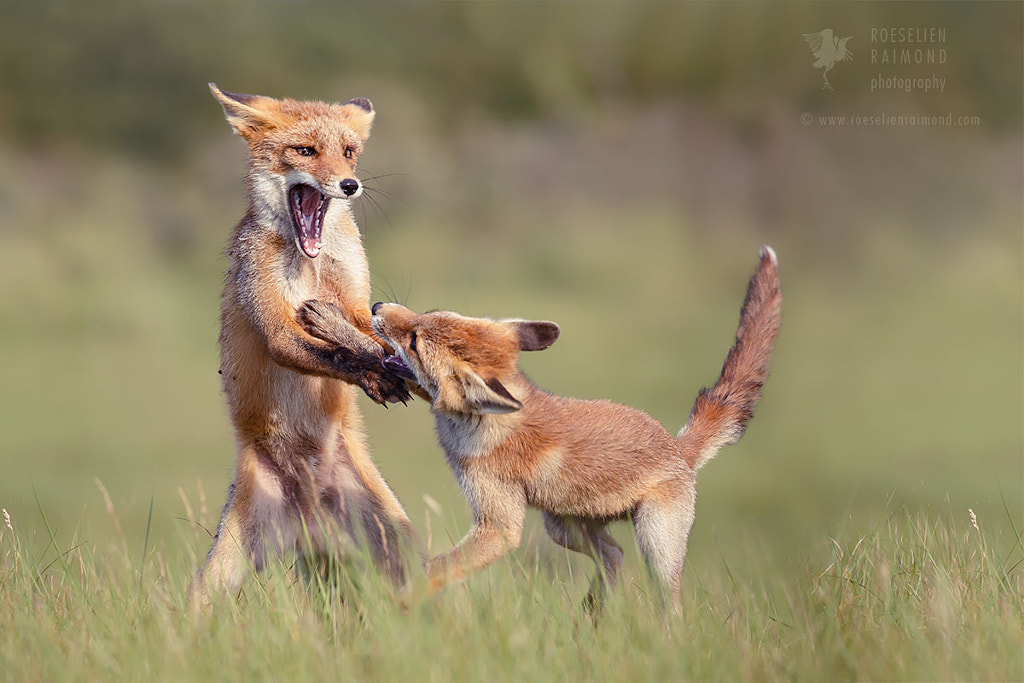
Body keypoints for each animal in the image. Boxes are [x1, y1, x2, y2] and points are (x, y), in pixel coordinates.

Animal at [299, 245, 778, 610]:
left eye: (415, 341)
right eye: (425, 315)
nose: (377, 306)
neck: (473, 427)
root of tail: (679, 449)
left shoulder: (499, 525)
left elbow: (435, 569)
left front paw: (396, 603)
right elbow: (372, 352)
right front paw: (328, 322)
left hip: (654, 544)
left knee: (664, 597)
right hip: (561, 527)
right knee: (613, 555)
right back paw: (593, 612)